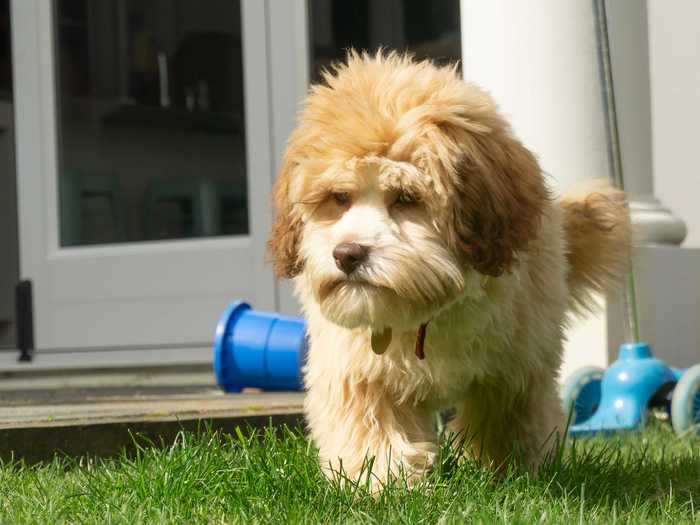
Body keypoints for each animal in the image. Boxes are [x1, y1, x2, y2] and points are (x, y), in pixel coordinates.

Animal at [266, 51, 632, 486]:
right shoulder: (358, 367)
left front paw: (513, 471)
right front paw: (385, 481)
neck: (428, 308)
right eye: (339, 197)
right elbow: (374, 428)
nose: (347, 255)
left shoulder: (518, 364)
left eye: (406, 198)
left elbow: (506, 417)